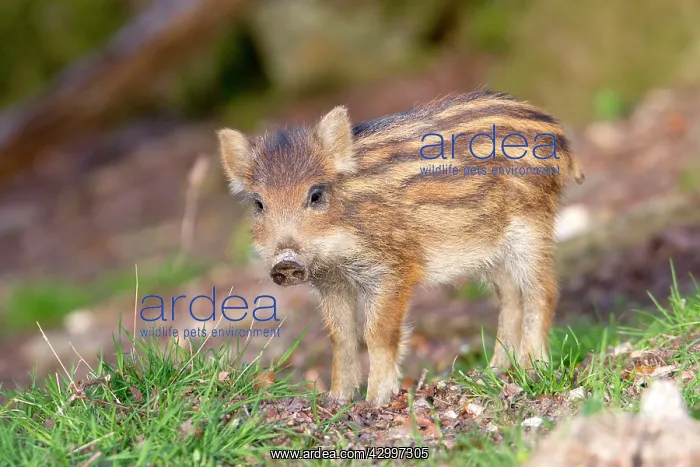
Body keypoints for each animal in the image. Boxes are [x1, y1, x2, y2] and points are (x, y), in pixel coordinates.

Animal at [218, 90, 585, 406]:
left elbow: (377, 334)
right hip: (490, 250)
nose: (285, 262)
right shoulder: (331, 283)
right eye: (258, 204)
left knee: (542, 291)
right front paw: (337, 401)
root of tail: (556, 131)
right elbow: (341, 337)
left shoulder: (393, 269)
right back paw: (491, 372)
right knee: (509, 296)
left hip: (531, 229)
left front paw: (376, 401)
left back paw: (532, 369)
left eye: (316, 194)